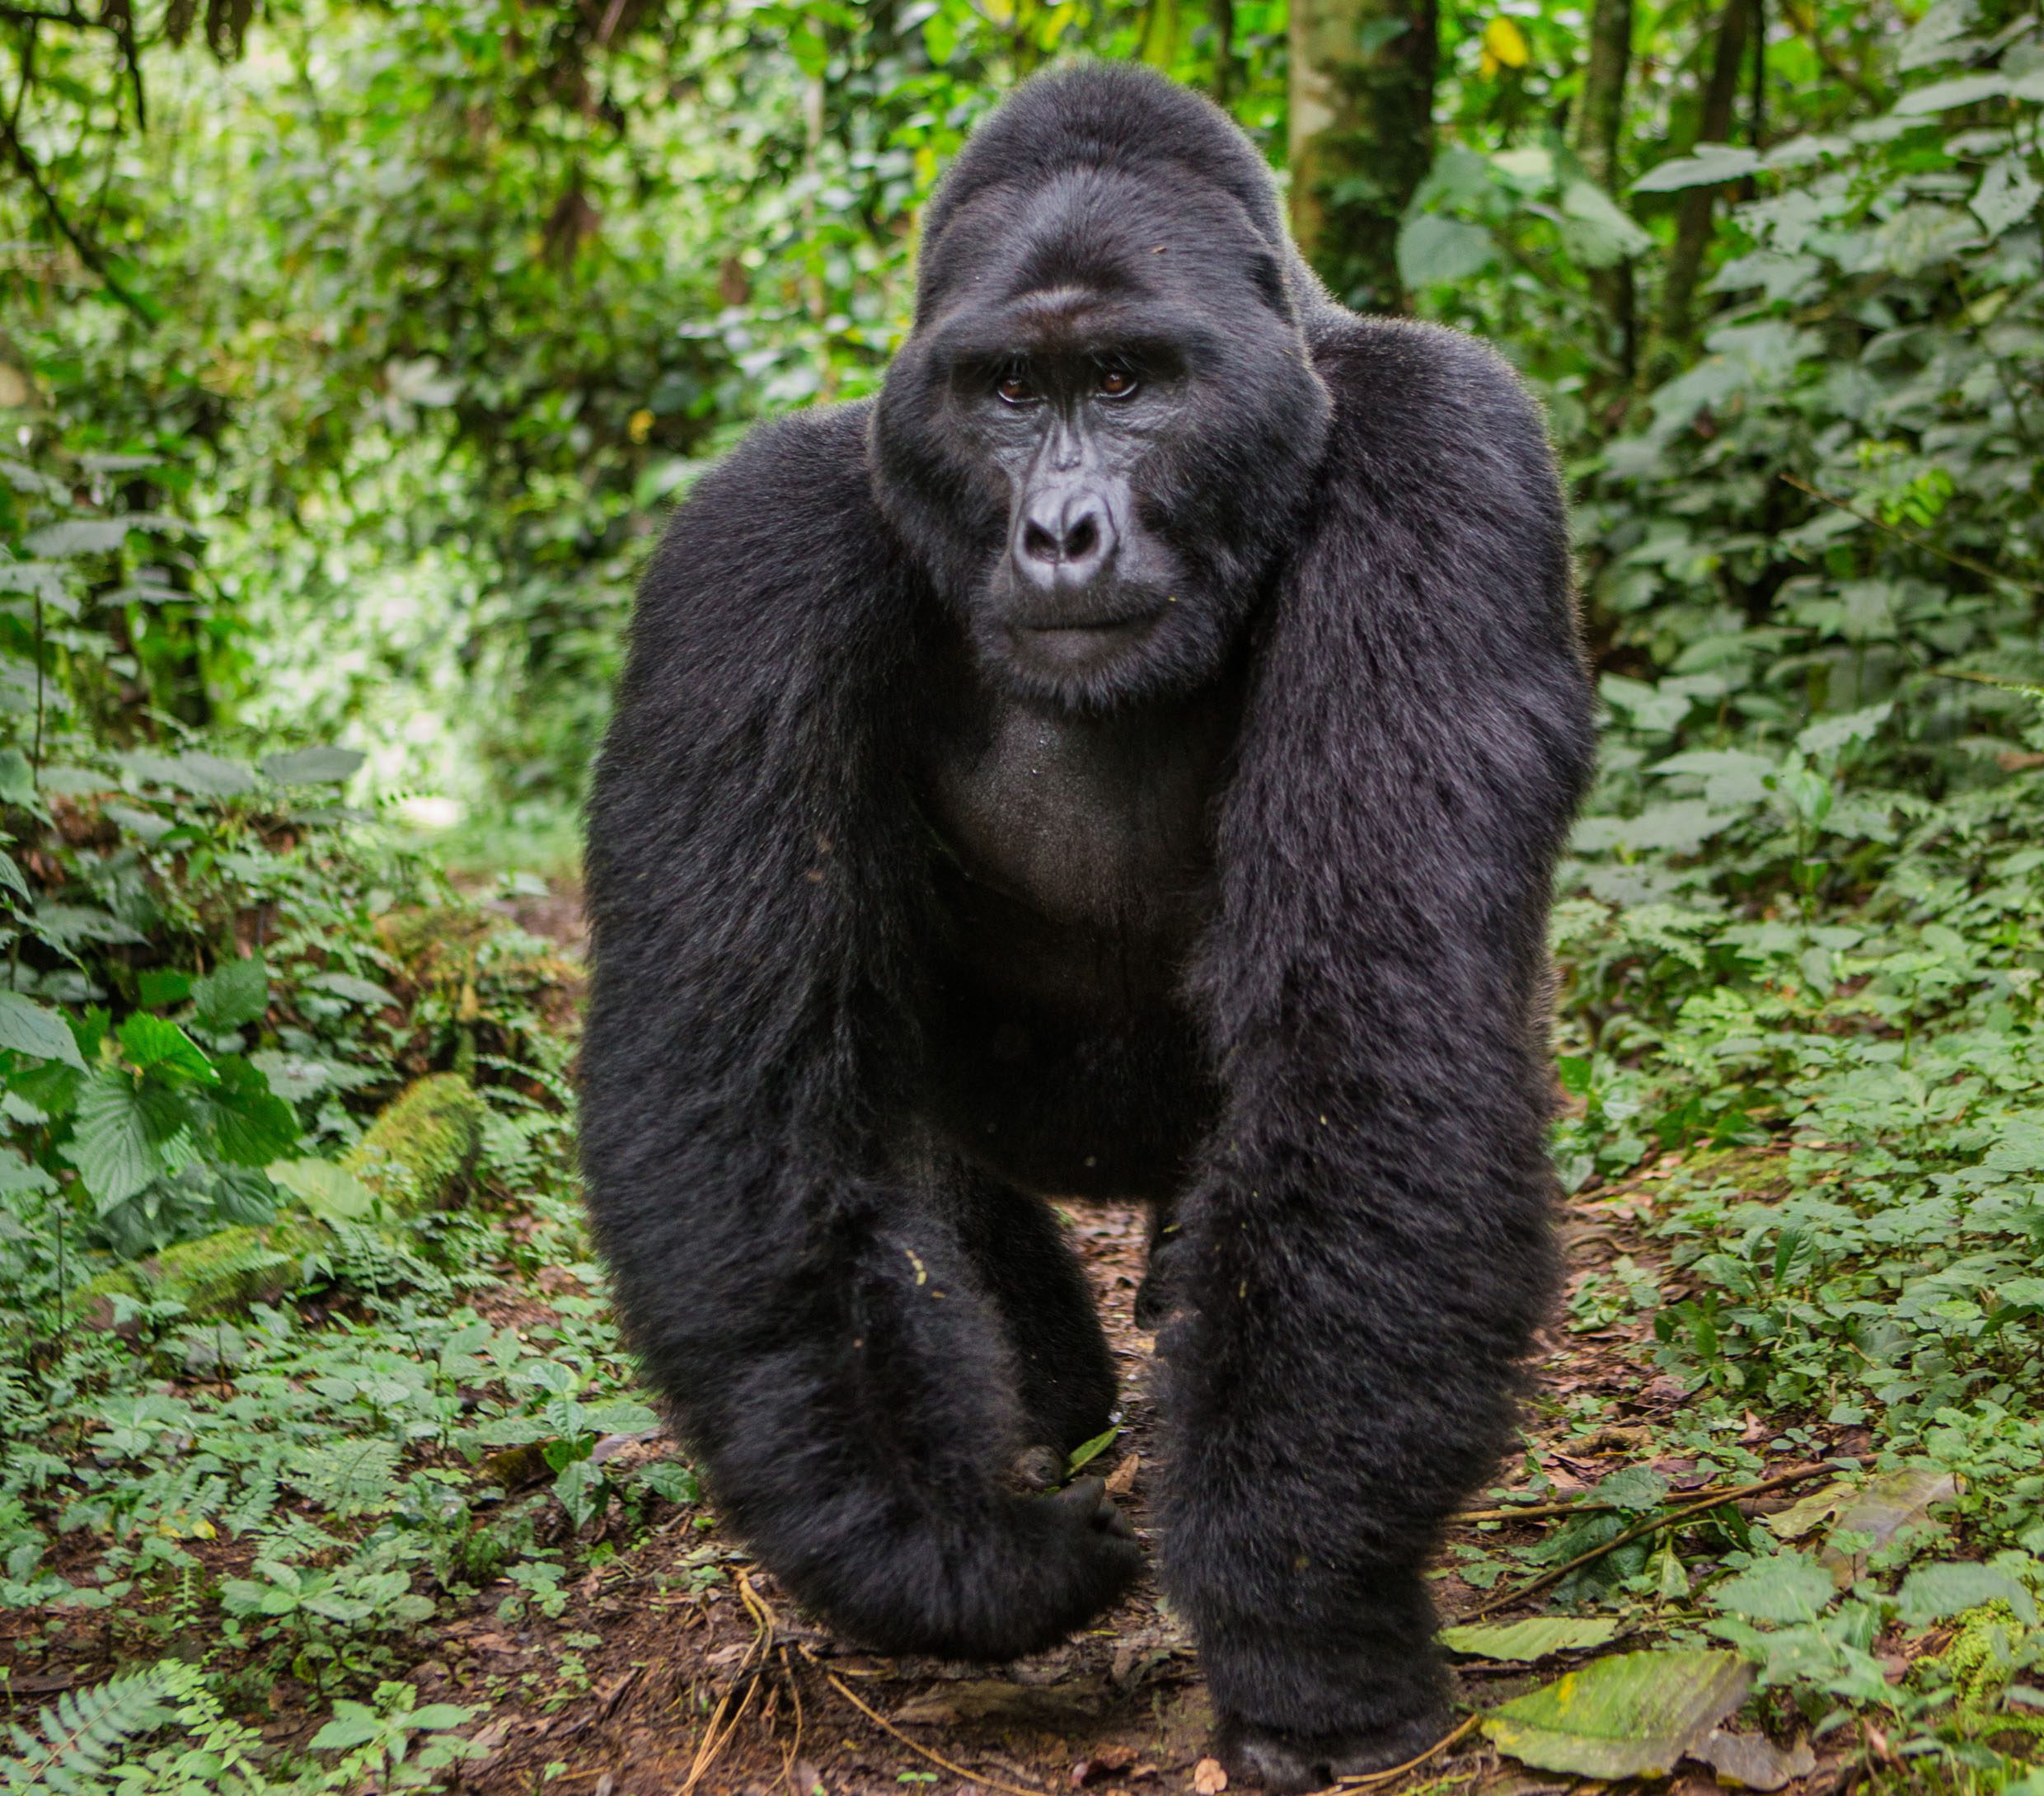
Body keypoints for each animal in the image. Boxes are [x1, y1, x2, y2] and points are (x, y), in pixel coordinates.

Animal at [576, 63, 1594, 1789]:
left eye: (1124, 380)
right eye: (1003, 390)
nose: (1060, 531)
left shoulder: (1445, 454)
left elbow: (1371, 1023)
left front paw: (1298, 1616)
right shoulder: (750, 549)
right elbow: (734, 1085)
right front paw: (944, 1554)